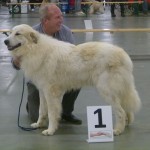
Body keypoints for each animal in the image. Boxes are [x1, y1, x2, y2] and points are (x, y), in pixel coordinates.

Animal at [4, 24, 141, 136]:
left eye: (18, 34)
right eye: (10, 33)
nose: (5, 41)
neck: (34, 48)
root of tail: (123, 55)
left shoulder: (50, 92)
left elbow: (52, 113)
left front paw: (50, 130)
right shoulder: (42, 91)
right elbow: (41, 111)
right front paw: (39, 124)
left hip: (106, 91)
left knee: (121, 112)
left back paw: (118, 130)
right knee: (125, 109)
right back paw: (126, 124)